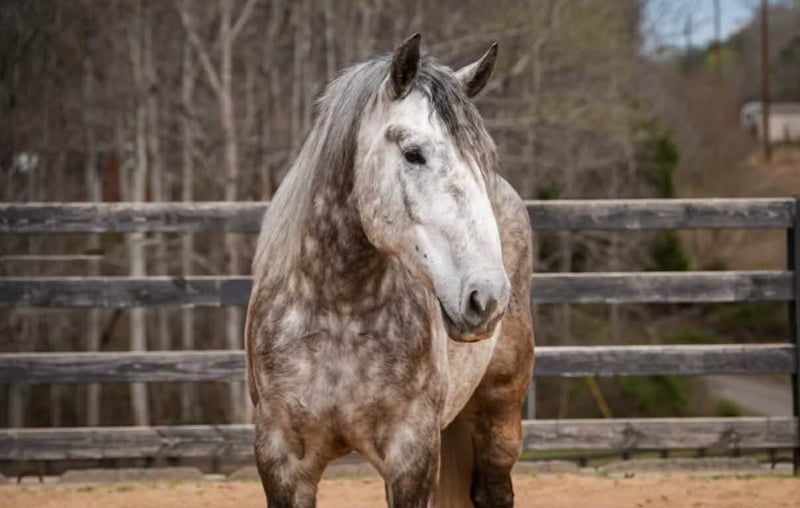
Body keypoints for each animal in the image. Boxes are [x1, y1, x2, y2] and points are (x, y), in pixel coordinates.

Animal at [245, 34, 534, 508]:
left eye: (484, 158)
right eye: (414, 154)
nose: (487, 298)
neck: (340, 314)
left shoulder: (412, 458)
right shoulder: (282, 461)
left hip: (500, 417)